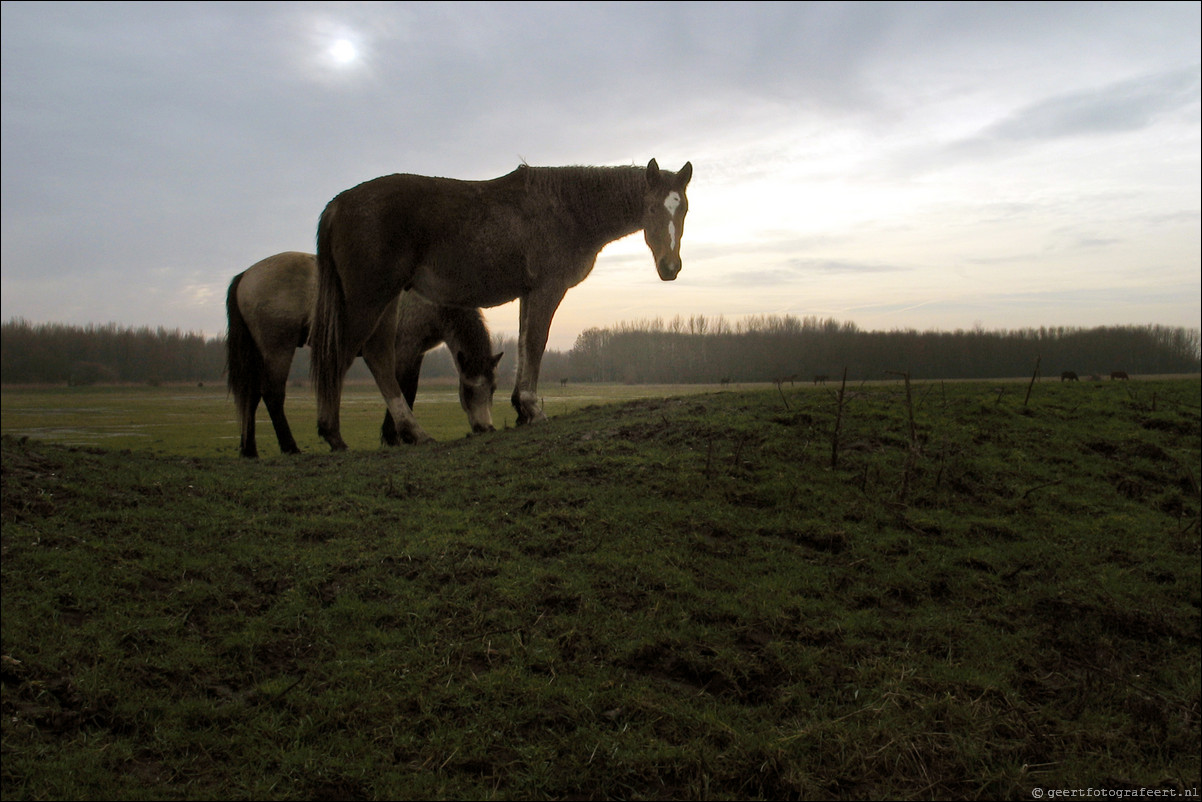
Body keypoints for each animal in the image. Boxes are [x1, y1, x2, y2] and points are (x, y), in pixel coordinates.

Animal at [225, 253, 502, 461]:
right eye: (467, 390)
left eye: (492, 389)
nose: (485, 428)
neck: (426, 302)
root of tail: (246, 275)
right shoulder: (404, 351)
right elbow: (404, 390)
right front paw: (394, 436)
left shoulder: (416, 354)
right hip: (278, 348)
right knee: (272, 394)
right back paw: (290, 447)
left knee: (251, 396)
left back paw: (250, 450)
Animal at [307, 159, 697, 449]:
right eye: (651, 207)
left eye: (685, 210)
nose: (670, 267)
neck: (566, 209)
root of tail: (338, 204)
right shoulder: (546, 290)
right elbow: (536, 343)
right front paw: (533, 409)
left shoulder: (528, 294)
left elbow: (524, 346)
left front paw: (521, 410)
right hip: (368, 300)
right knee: (343, 355)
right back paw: (336, 433)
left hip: (386, 304)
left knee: (377, 357)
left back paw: (409, 431)